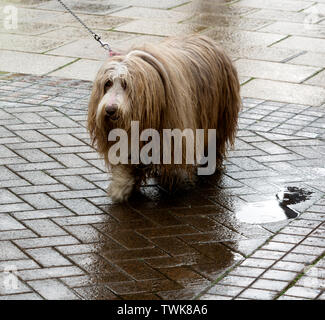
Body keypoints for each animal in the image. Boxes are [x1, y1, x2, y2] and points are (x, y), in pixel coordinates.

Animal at [88, 35, 240, 202]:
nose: (110, 109)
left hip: (219, 117)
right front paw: (121, 187)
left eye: (125, 84)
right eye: (107, 83)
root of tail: (207, 39)